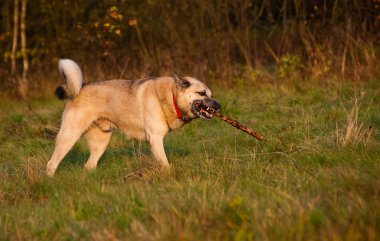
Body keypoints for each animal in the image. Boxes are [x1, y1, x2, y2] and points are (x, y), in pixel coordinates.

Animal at [46, 59, 221, 177]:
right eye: (202, 93)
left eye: (211, 94)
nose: (219, 106)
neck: (170, 97)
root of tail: (80, 88)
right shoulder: (156, 139)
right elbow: (165, 164)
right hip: (69, 137)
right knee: (51, 164)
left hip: (101, 142)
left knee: (89, 166)